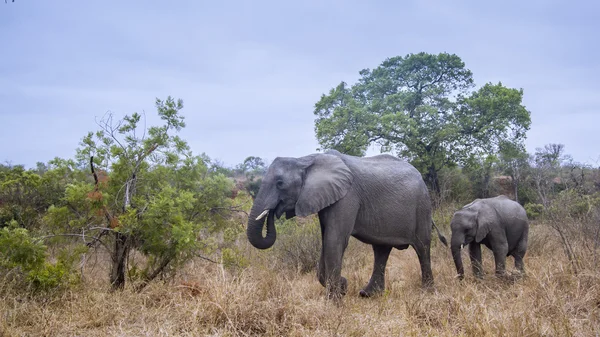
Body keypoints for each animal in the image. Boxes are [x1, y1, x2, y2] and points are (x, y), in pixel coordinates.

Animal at [244, 150, 446, 300]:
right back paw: (368, 294)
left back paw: (427, 293)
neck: (305, 160)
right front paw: (341, 288)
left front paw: (335, 300)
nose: (272, 212)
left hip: (422, 206)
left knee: (422, 247)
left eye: (280, 183)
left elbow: (335, 240)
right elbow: (326, 241)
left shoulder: (347, 196)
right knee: (381, 249)